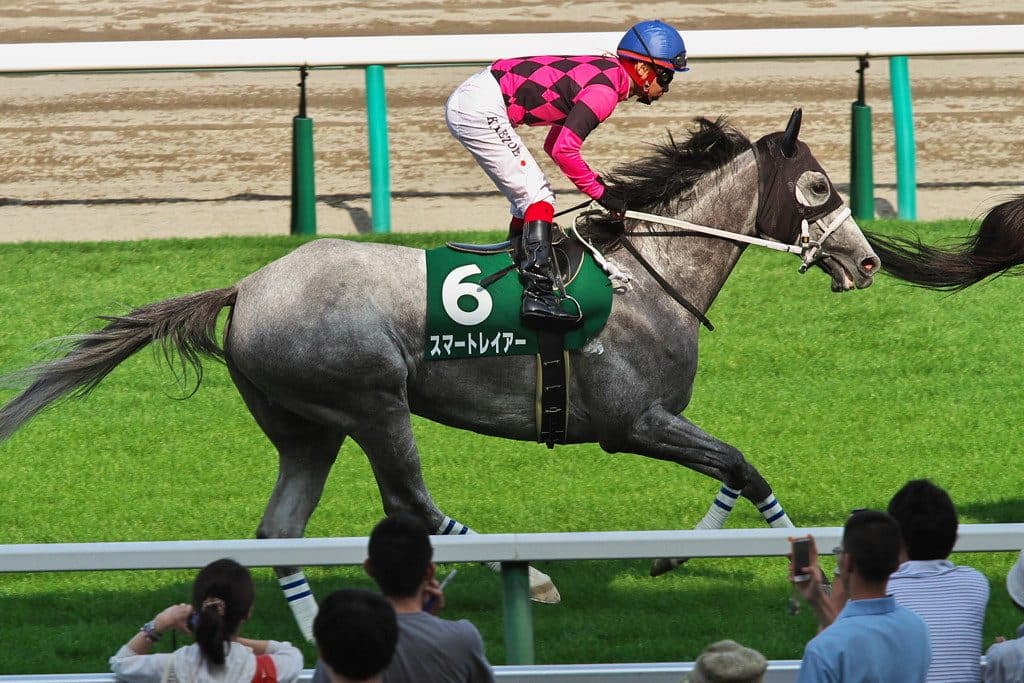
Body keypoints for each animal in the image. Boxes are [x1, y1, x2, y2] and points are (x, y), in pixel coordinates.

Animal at [0, 110, 882, 640]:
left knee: (278, 531)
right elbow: (740, 460)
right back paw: (515, 572)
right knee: (409, 504)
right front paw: (798, 575)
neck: (647, 273)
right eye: (817, 184)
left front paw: (677, 557)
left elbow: (733, 465)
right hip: (373, 403)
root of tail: (245, 288)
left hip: (307, 429)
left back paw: (321, 631)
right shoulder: (630, 422)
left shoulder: (650, 420)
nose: (867, 260)